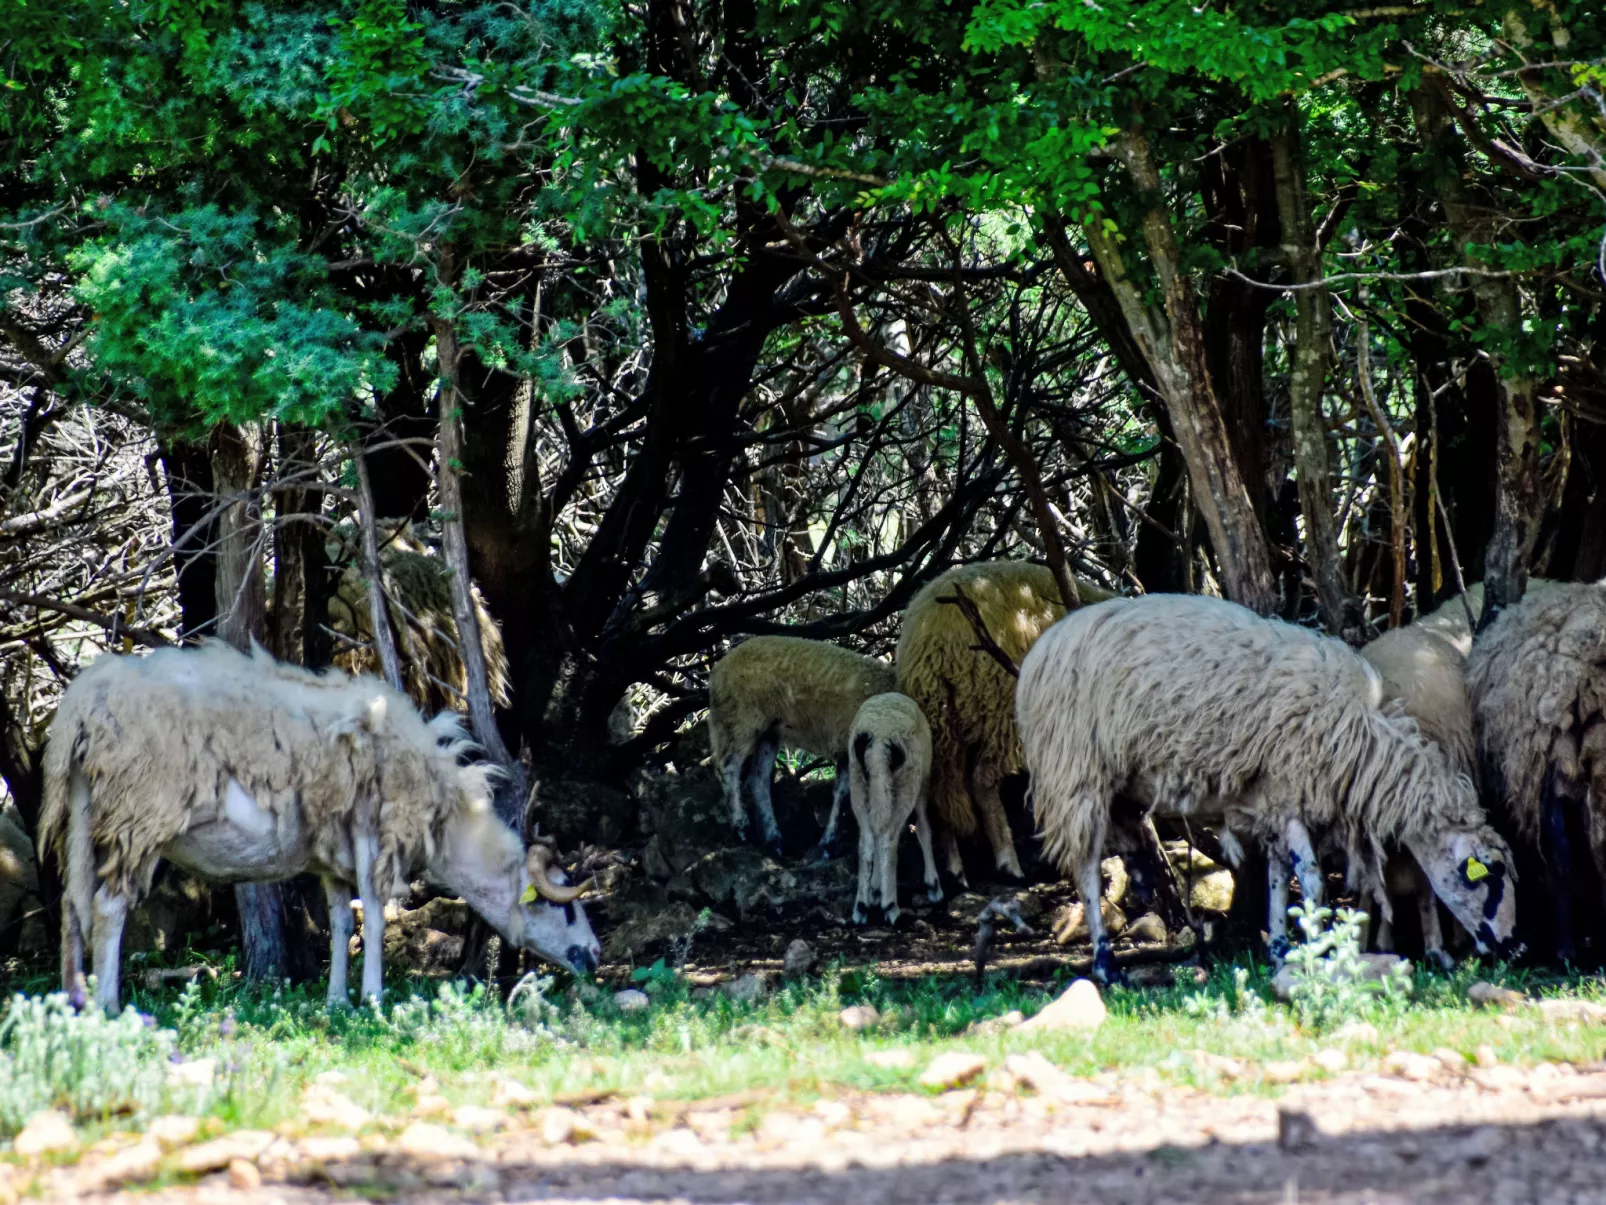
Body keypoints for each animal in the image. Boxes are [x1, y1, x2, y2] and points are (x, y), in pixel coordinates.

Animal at [42, 645, 603, 1015]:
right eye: (563, 906)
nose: (596, 956)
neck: (447, 821)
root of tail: (82, 703)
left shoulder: (333, 854)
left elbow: (338, 920)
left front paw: (337, 1000)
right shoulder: (373, 831)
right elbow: (373, 912)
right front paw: (373, 998)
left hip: (87, 808)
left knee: (72, 906)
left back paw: (73, 998)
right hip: (142, 811)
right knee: (108, 907)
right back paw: (108, 1005)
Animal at [709, 633, 899, 861]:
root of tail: (718, 670)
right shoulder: (849, 746)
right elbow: (848, 797)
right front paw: (829, 845)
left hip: (769, 732)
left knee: (758, 780)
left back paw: (774, 840)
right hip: (741, 718)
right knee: (728, 768)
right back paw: (741, 828)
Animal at [841, 687, 937, 925]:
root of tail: (878, 736)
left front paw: (875, 889)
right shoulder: (924, 781)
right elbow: (923, 828)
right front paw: (933, 885)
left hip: (859, 780)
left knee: (867, 839)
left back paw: (861, 907)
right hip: (907, 777)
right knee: (888, 839)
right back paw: (891, 906)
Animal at [1014, 591, 1516, 983]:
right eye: (1486, 875)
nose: (1515, 947)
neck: (1362, 746)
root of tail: (1040, 647)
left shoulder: (1273, 800)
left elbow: (1278, 877)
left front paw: (1279, 950)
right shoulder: (1289, 793)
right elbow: (1312, 881)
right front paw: (1319, 951)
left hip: (1115, 786)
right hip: (1076, 771)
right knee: (1084, 869)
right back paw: (1104, 964)